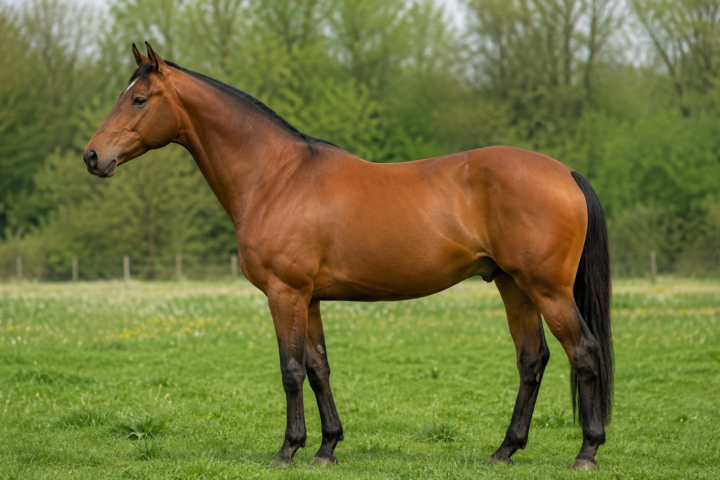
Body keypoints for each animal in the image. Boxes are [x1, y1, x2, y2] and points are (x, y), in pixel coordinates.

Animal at [84, 43, 612, 470]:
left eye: (138, 99)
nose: (92, 156)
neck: (276, 177)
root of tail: (564, 171)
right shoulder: (311, 299)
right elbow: (319, 369)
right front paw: (326, 447)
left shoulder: (284, 294)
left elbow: (291, 370)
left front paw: (288, 449)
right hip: (513, 286)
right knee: (532, 360)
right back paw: (505, 449)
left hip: (547, 289)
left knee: (583, 352)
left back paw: (586, 450)